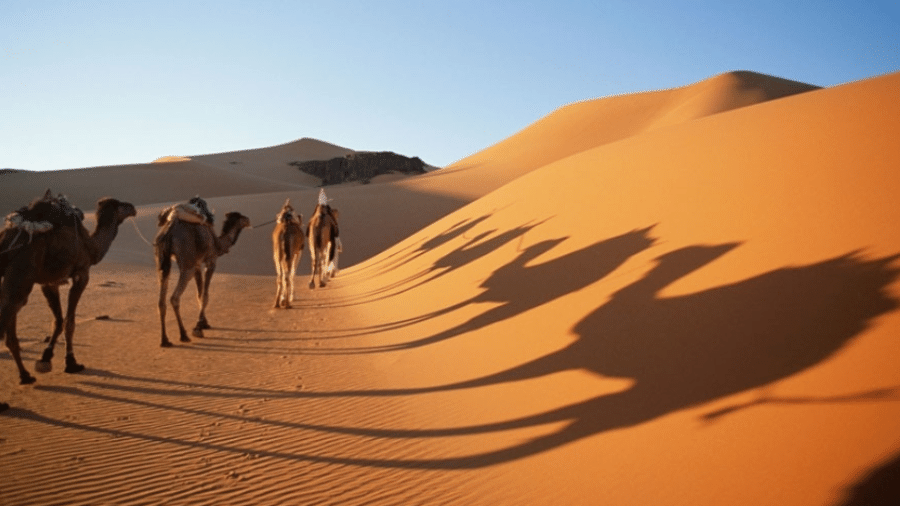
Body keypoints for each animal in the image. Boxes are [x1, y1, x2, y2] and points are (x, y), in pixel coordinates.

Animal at [0, 190, 137, 396]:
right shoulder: (82, 274)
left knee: (10, 316)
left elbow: (57, 320)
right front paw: (71, 363)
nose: (133, 207)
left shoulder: (49, 282)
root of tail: (7, 236)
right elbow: (69, 321)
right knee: (10, 308)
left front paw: (45, 359)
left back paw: (25, 376)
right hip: (22, 272)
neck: (91, 246)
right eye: (120, 204)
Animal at [155, 199, 251, 348]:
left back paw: (165, 340)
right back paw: (183, 335)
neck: (218, 244)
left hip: (162, 261)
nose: (249, 220)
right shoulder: (210, 261)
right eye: (241, 216)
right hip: (186, 264)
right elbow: (205, 295)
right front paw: (198, 327)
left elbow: (199, 294)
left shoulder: (197, 265)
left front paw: (204, 323)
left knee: (161, 300)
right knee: (174, 298)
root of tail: (169, 229)